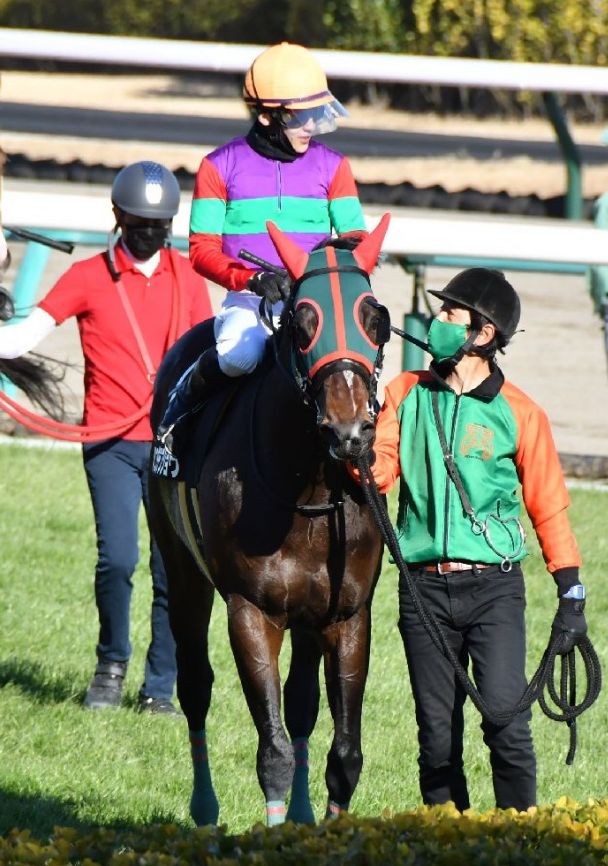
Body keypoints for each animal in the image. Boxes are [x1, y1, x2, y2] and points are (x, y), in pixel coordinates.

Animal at [150, 214, 392, 824]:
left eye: (375, 319)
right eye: (303, 322)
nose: (349, 433)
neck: (307, 491)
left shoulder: (347, 614)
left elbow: (344, 755)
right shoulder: (251, 611)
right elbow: (274, 751)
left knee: (303, 705)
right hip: (182, 569)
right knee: (196, 686)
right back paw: (205, 811)